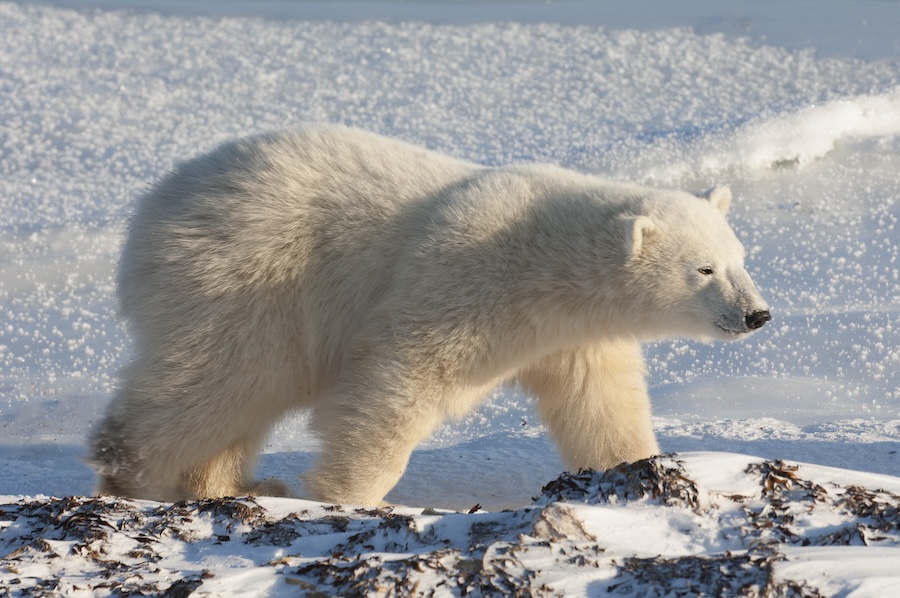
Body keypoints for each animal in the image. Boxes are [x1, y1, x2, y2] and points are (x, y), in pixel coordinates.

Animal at [90, 124, 770, 506]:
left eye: (740, 258)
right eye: (703, 269)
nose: (758, 315)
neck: (545, 262)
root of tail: (155, 204)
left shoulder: (571, 336)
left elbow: (600, 404)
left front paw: (638, 470)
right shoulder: (463, 278)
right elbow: (400, 377)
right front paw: (347, 495)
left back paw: (234, 486)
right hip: (248, 276)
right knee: (225, 376)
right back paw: (131, 471)